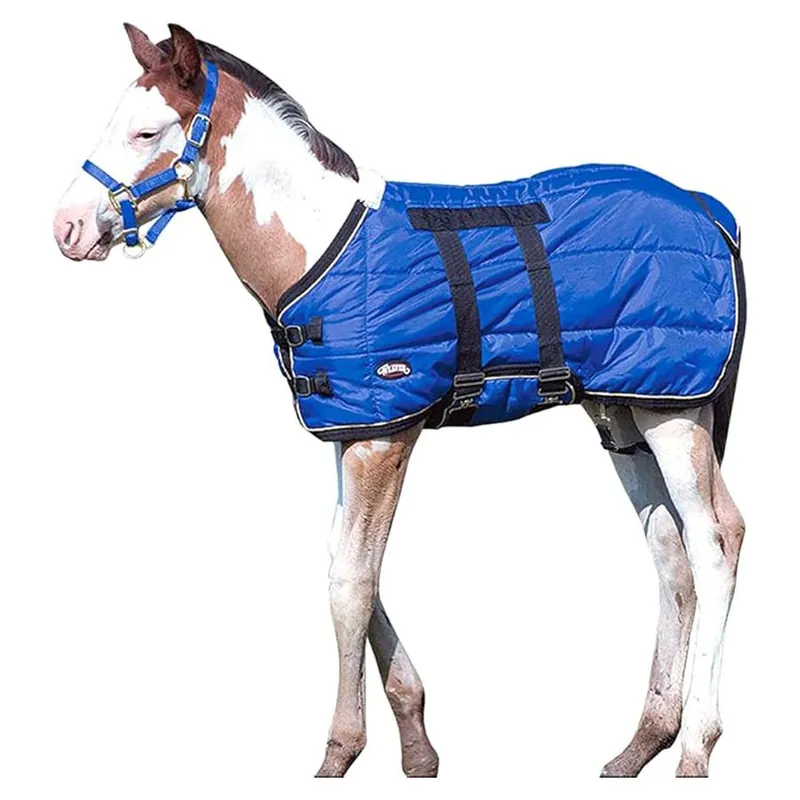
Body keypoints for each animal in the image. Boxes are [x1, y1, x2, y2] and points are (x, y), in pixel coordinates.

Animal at [53, 23, 746, 779]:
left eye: (147, 131)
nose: (68, 227)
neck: (319, 246)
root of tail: (706, 208)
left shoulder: (384, 437)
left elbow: (351, 582)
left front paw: (340, 752)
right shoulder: (354, 428)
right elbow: (345, 561)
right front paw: (416, 745)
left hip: (673, 410)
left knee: (714, 542)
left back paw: (697, 746)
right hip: (622, 410)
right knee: (668, 552)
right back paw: (642, 743)